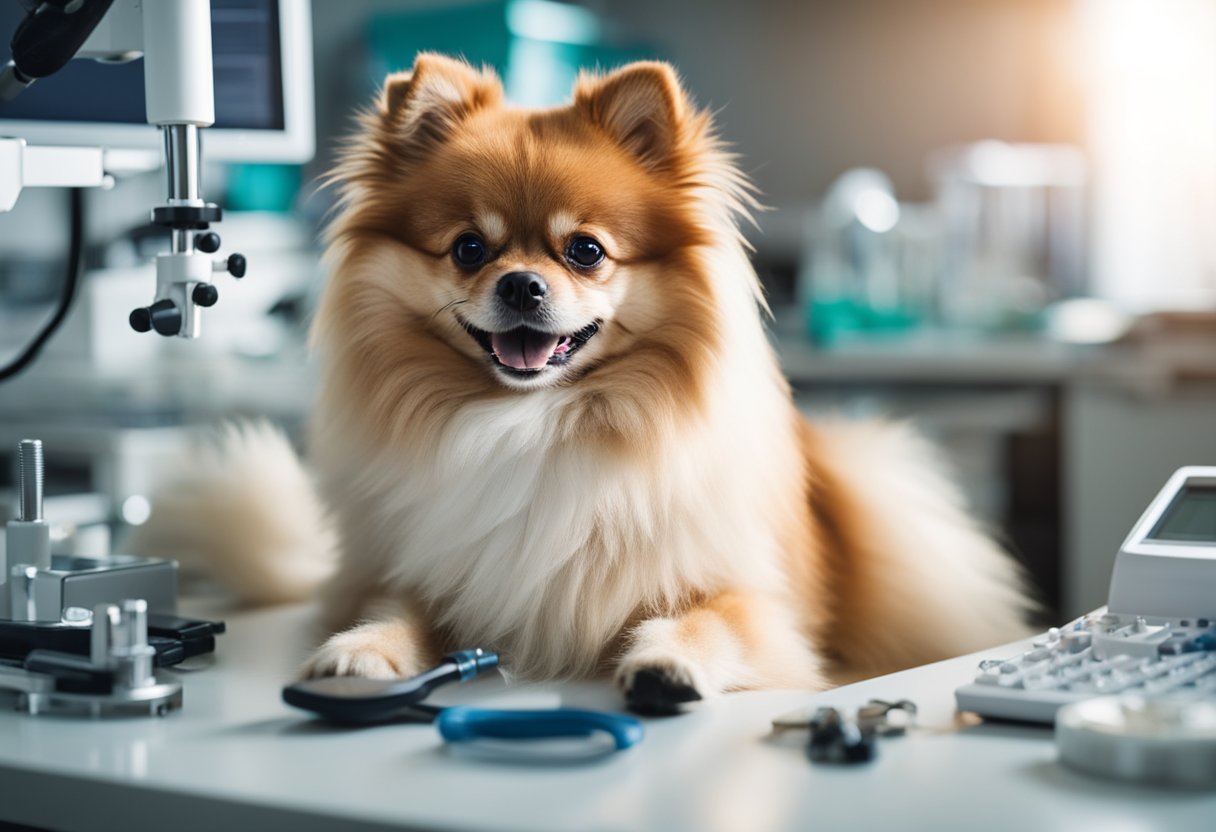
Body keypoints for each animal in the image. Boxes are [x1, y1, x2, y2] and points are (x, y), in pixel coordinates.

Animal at [130, 53, 1026, 715]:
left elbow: (709, 619)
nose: (523, 285)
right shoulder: (423, 568)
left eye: (586, 251)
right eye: (468, 248)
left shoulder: (754, 601)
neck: (535, 421)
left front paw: (668, 662)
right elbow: (398, 605)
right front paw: (363, 649)